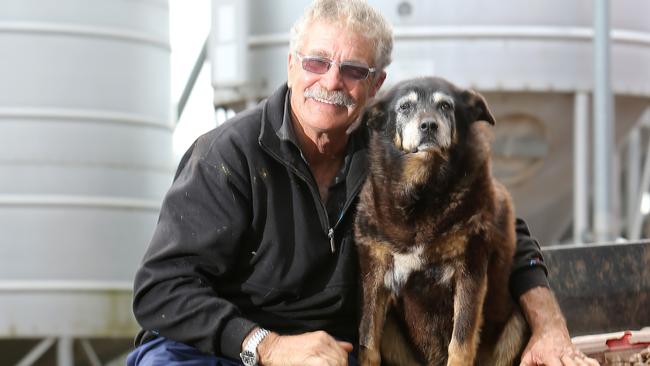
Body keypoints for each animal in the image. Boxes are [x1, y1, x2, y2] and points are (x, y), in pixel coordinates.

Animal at [354, 76, 528, 364]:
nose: (428, 125)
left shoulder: (470, 269)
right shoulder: (374, 275)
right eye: (405, 106)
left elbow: (461, 342)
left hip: (516, 324)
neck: (423, 191)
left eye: (445, 105)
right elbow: (367, 342)